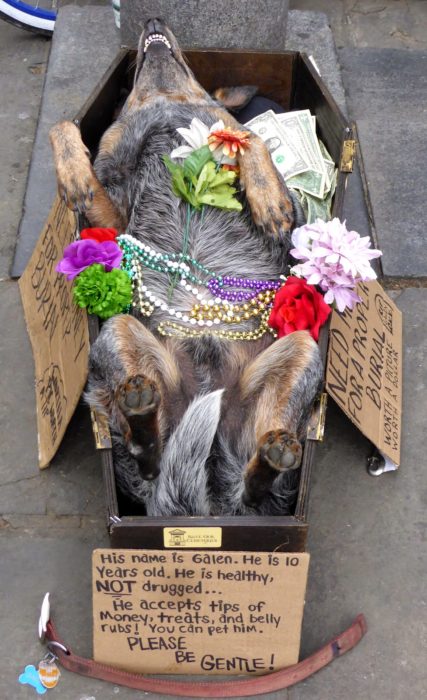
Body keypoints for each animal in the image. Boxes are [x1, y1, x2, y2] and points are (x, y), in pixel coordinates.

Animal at [50, 19, 322, 516]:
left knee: (259, 479)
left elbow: (250, 140)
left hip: (302, 353)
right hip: (116, 334)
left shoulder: (291, 225)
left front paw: (265, 197)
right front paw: (74, 175)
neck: (165, 109)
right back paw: (141, 415)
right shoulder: (112, 217)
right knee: (148, 455)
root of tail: (212, 492)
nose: (154, 20)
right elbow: (61, 127)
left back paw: (268, 460)